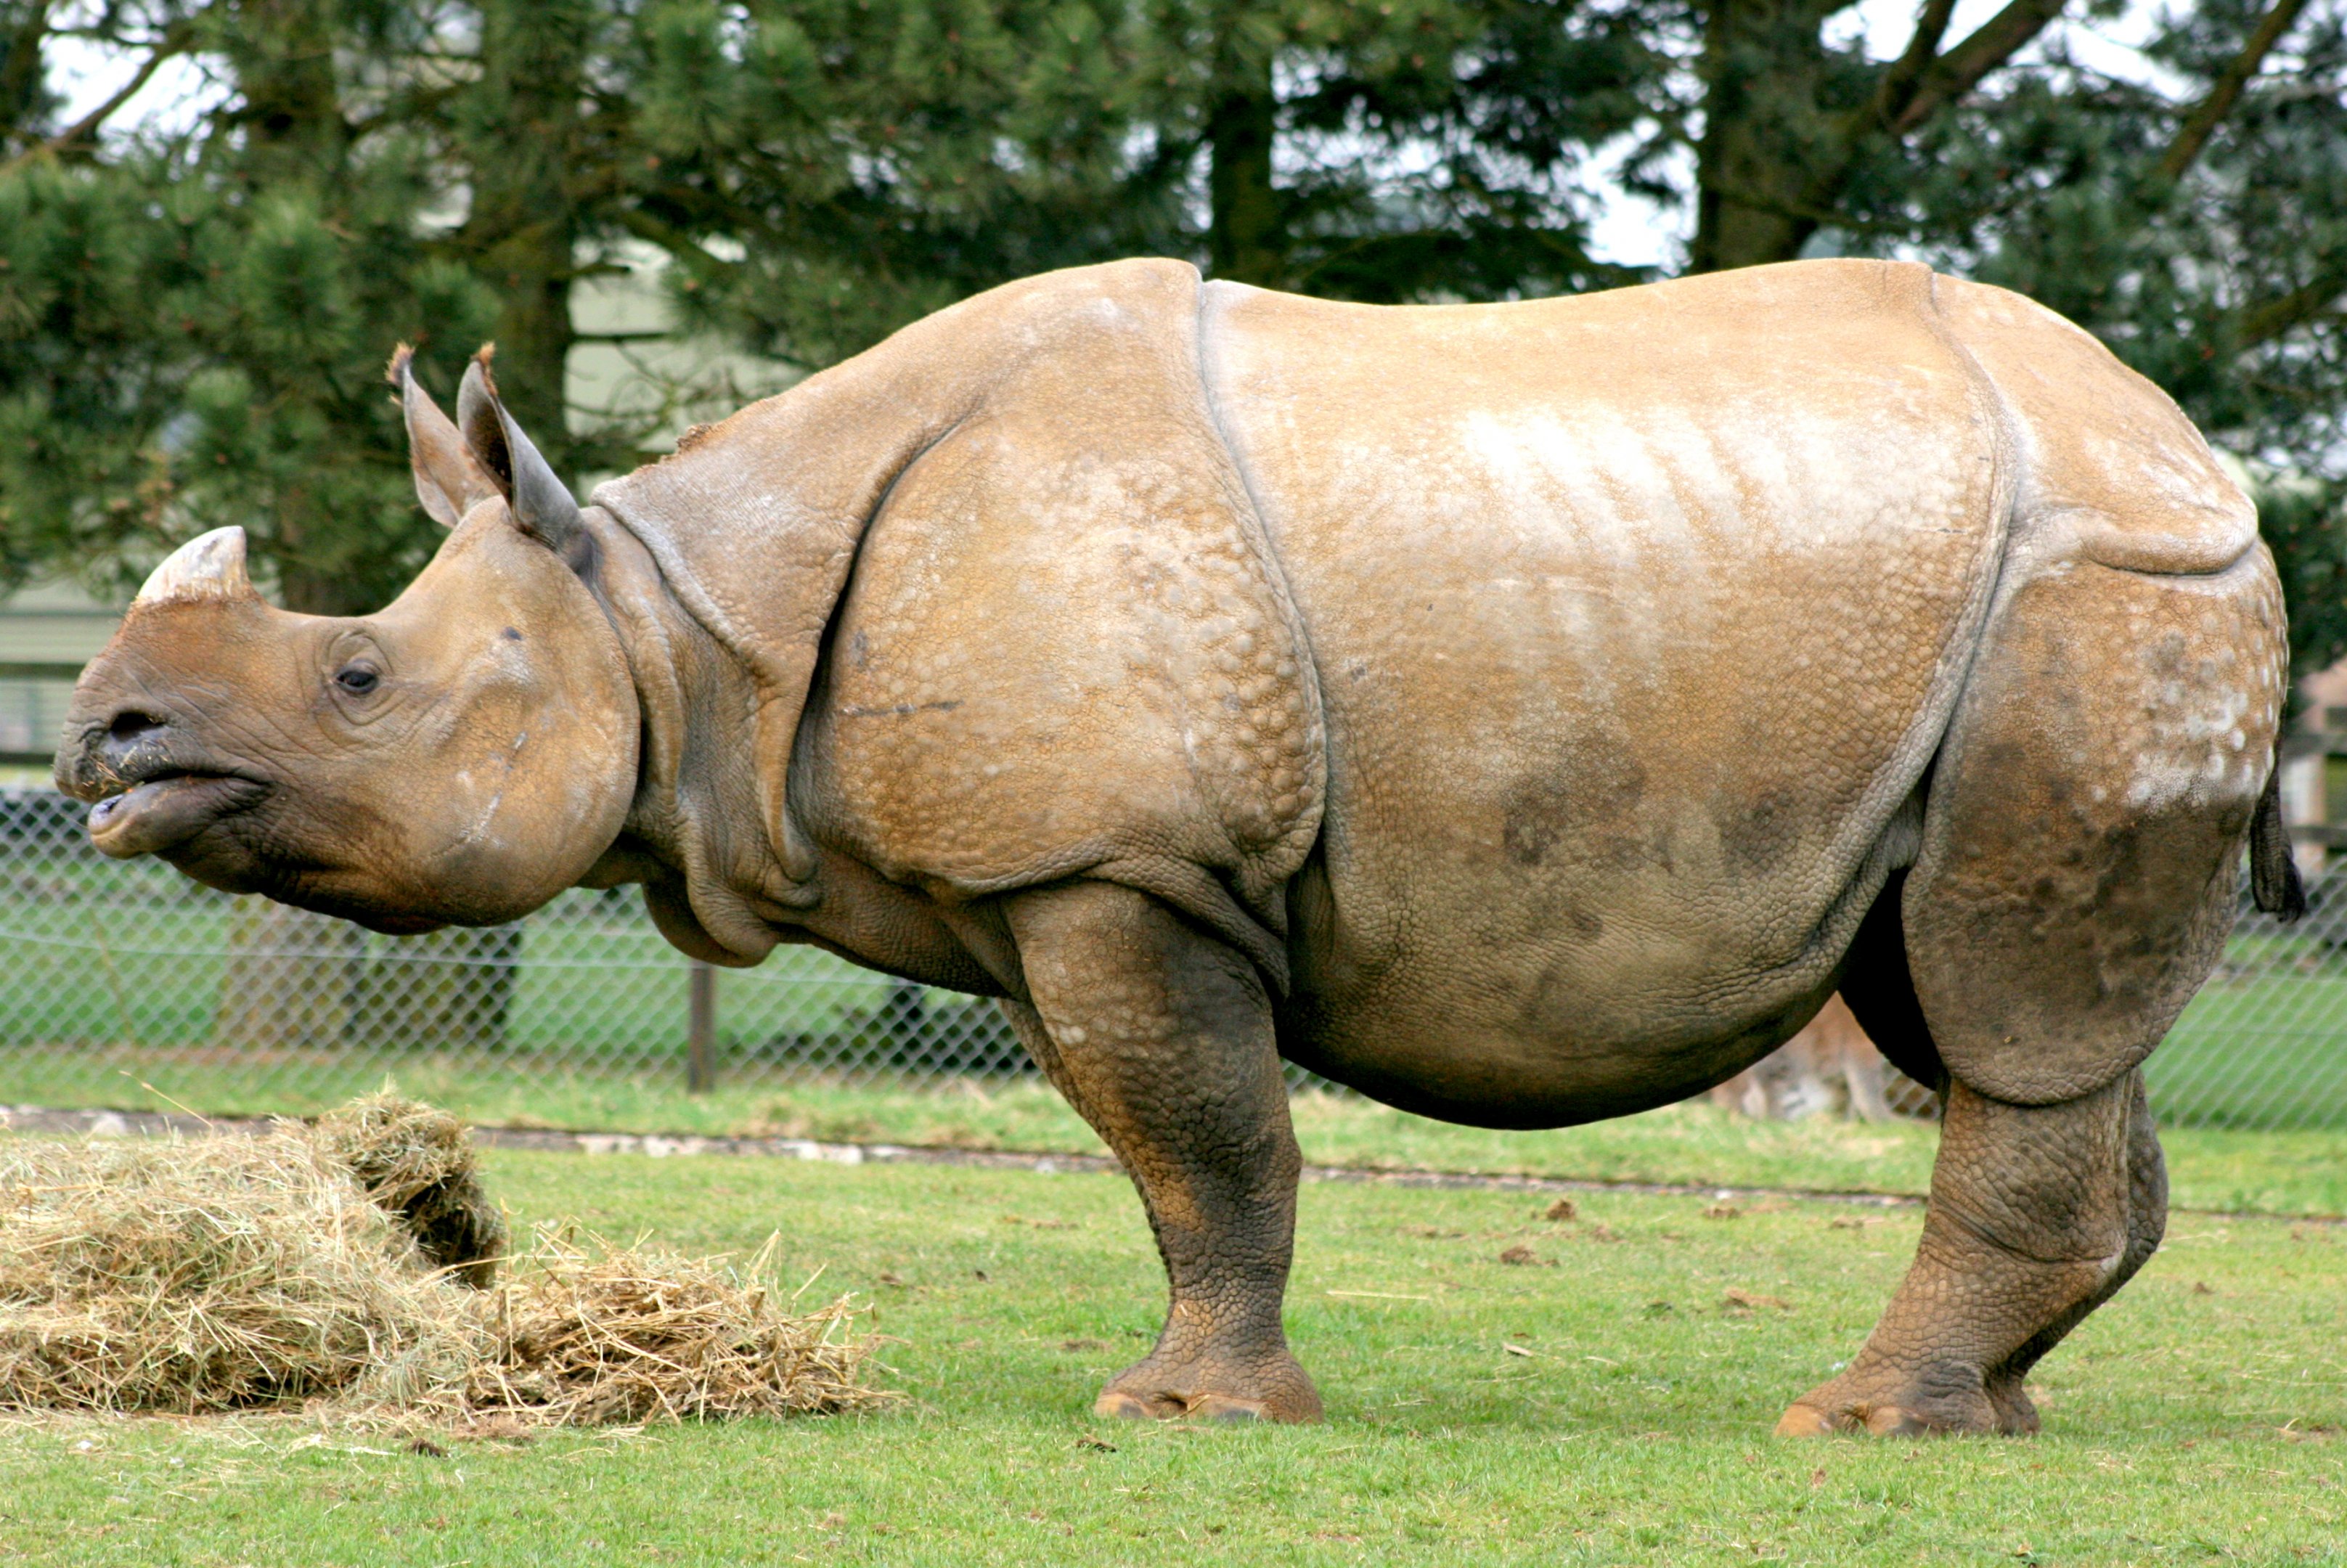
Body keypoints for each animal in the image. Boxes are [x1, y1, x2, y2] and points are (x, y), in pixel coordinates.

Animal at [56, 257, 2302, 1436]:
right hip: (2035, 605)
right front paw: (1197, 1386)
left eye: (355, 677)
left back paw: (1855, 1423)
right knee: (1986, 1009)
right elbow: (1164, 1151)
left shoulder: (1114, 869)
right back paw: (1991, 1416)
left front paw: (1187, 1417)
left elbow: (1208, 1140)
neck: (677, 620)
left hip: (2102, 597)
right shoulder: (1061, 884)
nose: (99, 743)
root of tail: (2200, 452)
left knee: (2008, 999)